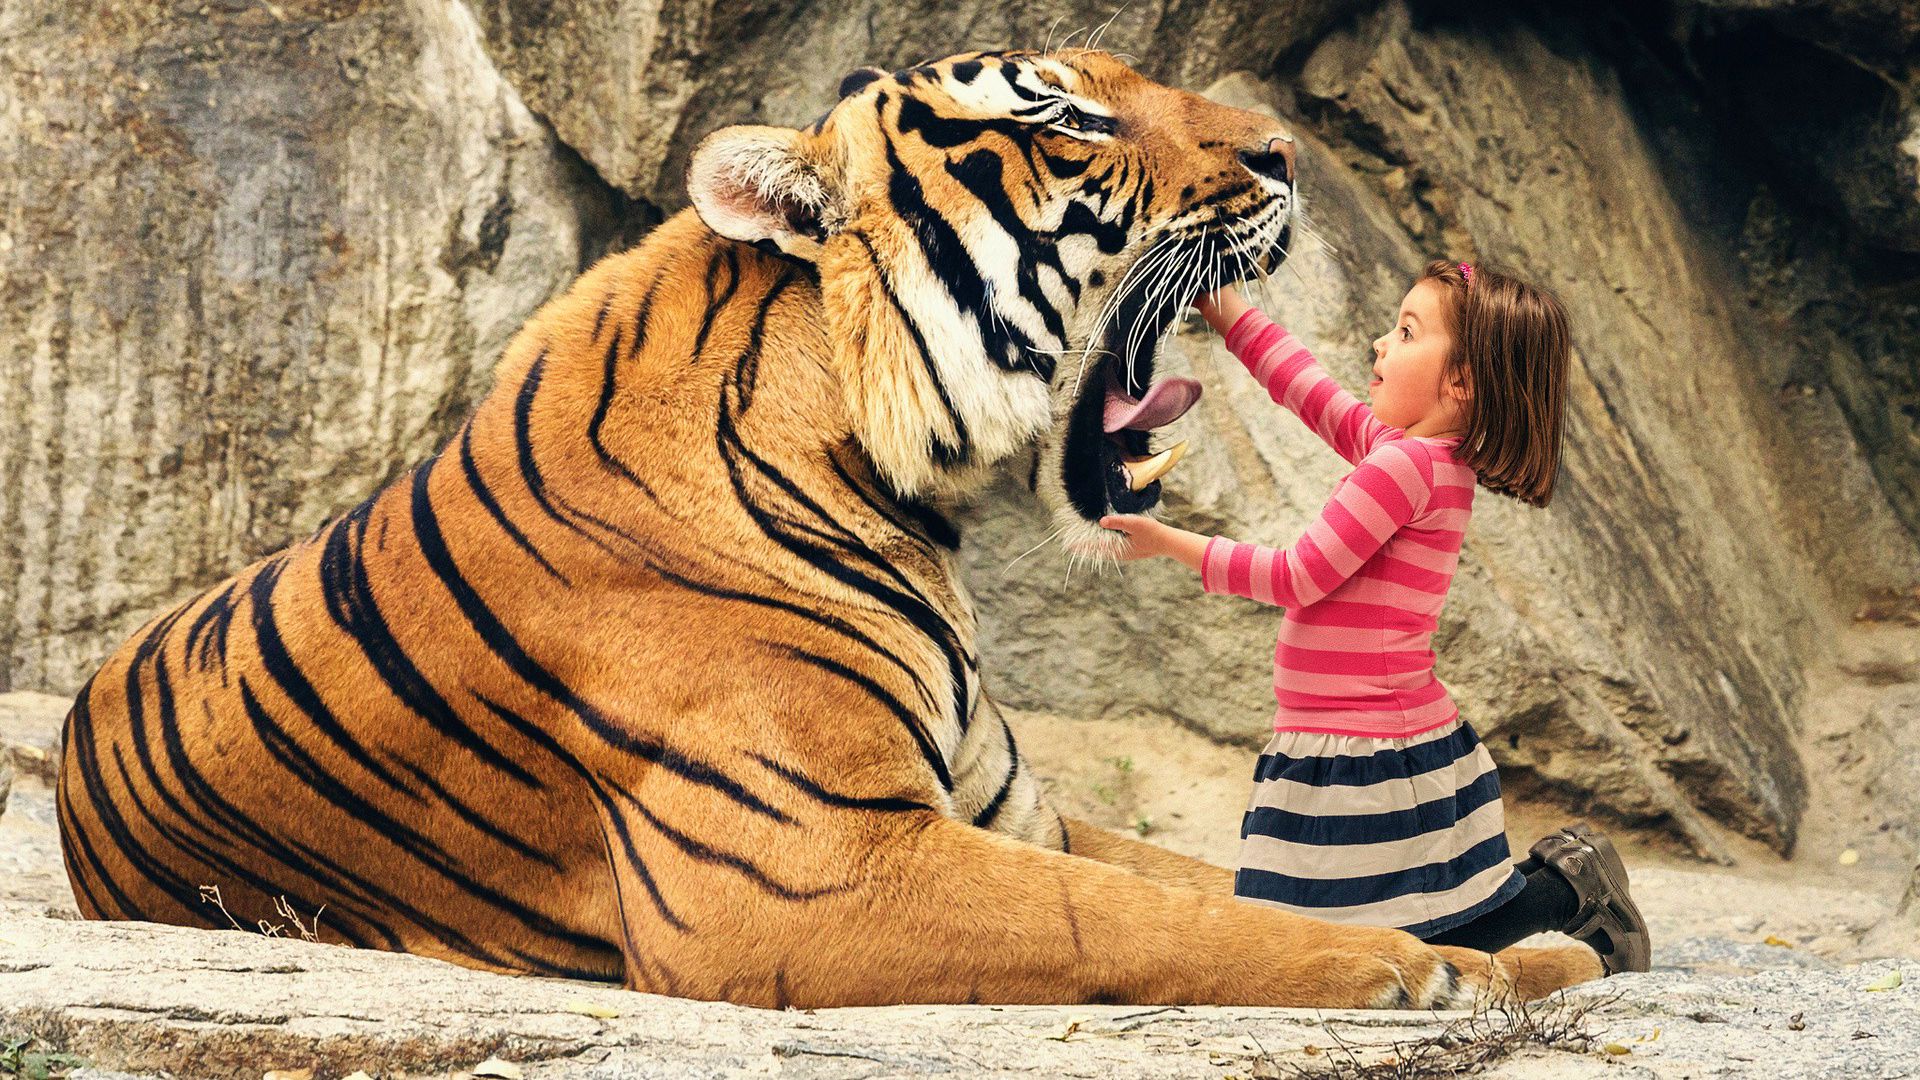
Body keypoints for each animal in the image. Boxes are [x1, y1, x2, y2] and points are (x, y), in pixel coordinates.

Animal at [56, 48, 1602, 1008]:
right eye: (1069, 122)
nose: (1284, 154)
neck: (905, 494)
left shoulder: (1010, 810)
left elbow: (1220, 878)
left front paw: (1543, 951)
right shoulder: (811, 866)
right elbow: (1170, 916)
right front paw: (1447, 970)